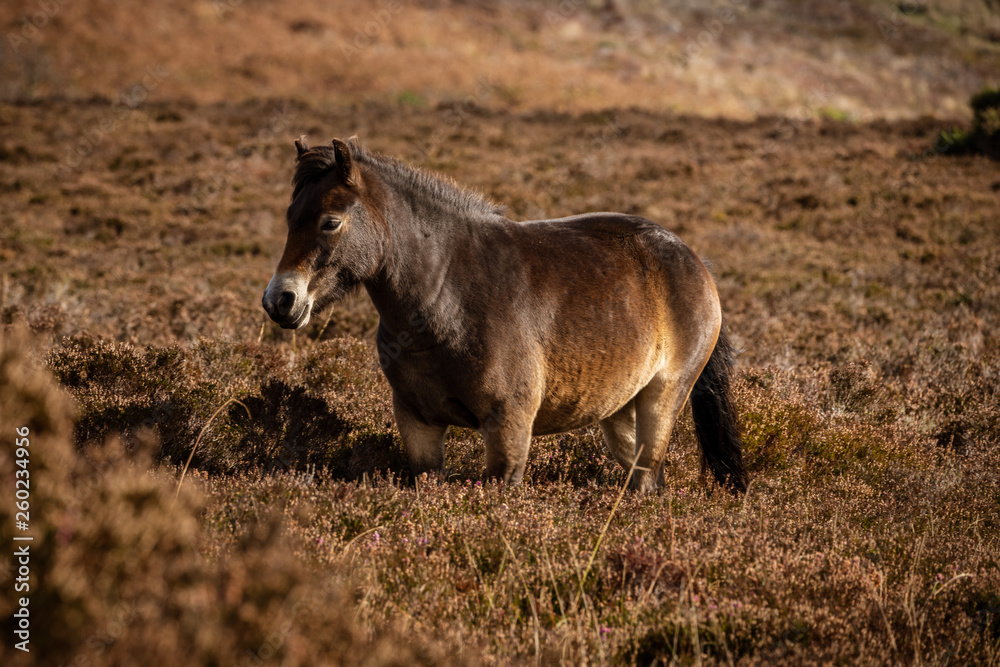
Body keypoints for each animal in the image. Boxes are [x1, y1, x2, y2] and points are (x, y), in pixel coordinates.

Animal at [262, 137, 747, 493]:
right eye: (289, 217)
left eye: (330, 222)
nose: (280, 300)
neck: (445, 300)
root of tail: (694, 261)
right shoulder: (418, 425)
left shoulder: (508, 430)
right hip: (619, 410)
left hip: (662, 399)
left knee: (647, 474)